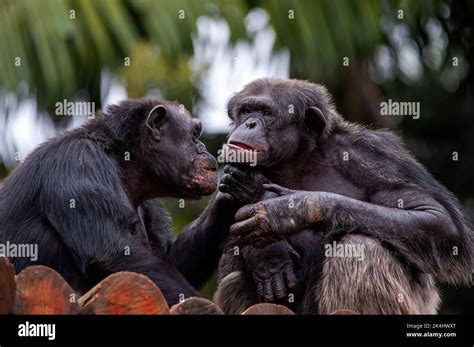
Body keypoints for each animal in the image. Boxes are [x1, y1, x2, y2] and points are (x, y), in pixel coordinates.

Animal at [0, 98, 241, 308]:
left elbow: (174, 260)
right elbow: (112, 252)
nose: (203, 148)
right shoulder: (80, 164)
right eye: (194, 134)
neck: (123, 162)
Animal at [215, 79, 474, 316]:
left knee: (360, 247)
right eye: (246, 111)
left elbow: (436, 218)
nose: (249, 123)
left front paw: (291, 210)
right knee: (233, 279)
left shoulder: (376, 157)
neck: (297, 160)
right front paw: (269, 257)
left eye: (267, 113)